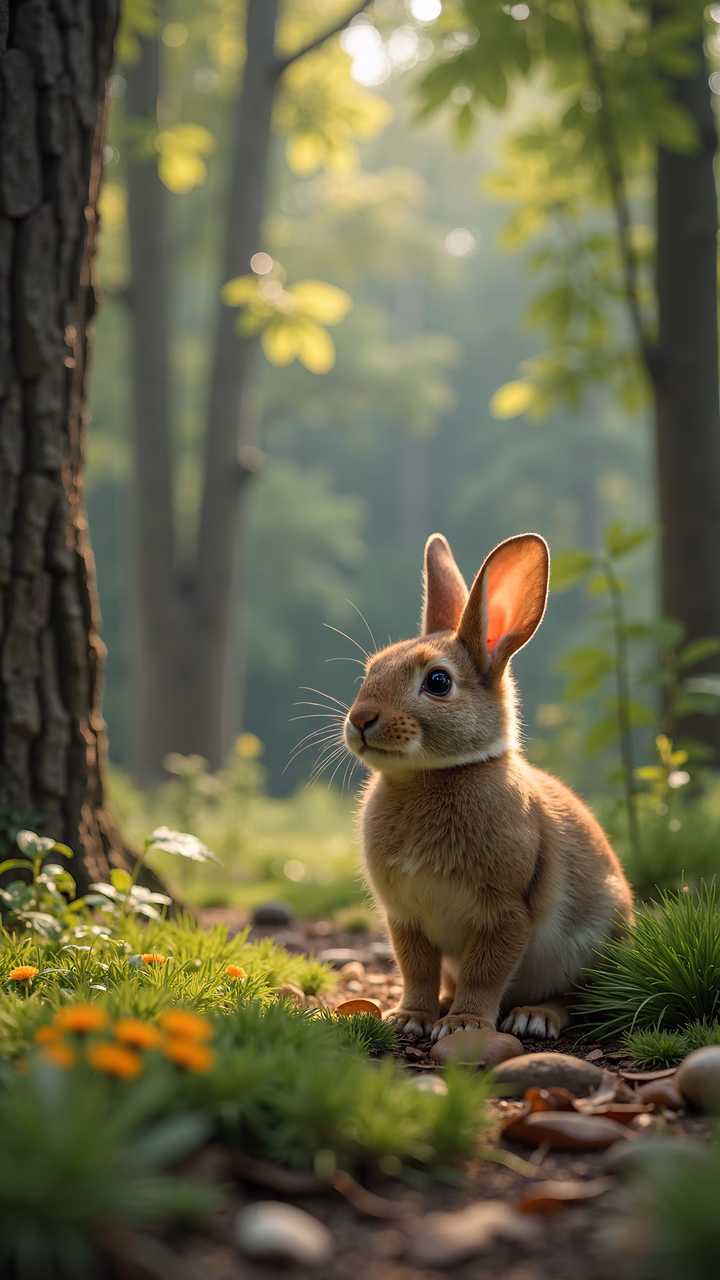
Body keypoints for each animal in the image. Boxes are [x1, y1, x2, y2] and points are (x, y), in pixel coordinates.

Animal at [343, 532, 633, 1042]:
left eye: (438, 681)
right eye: (371, 670)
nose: (360, 720)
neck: (436, 773)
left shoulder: (506, 912)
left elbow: (486, 970)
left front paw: (464, 1025)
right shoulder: (406, 918)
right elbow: (416, 969)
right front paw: (411, 1018)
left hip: (592, 944)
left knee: (575, 999)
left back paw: (533, 1018)